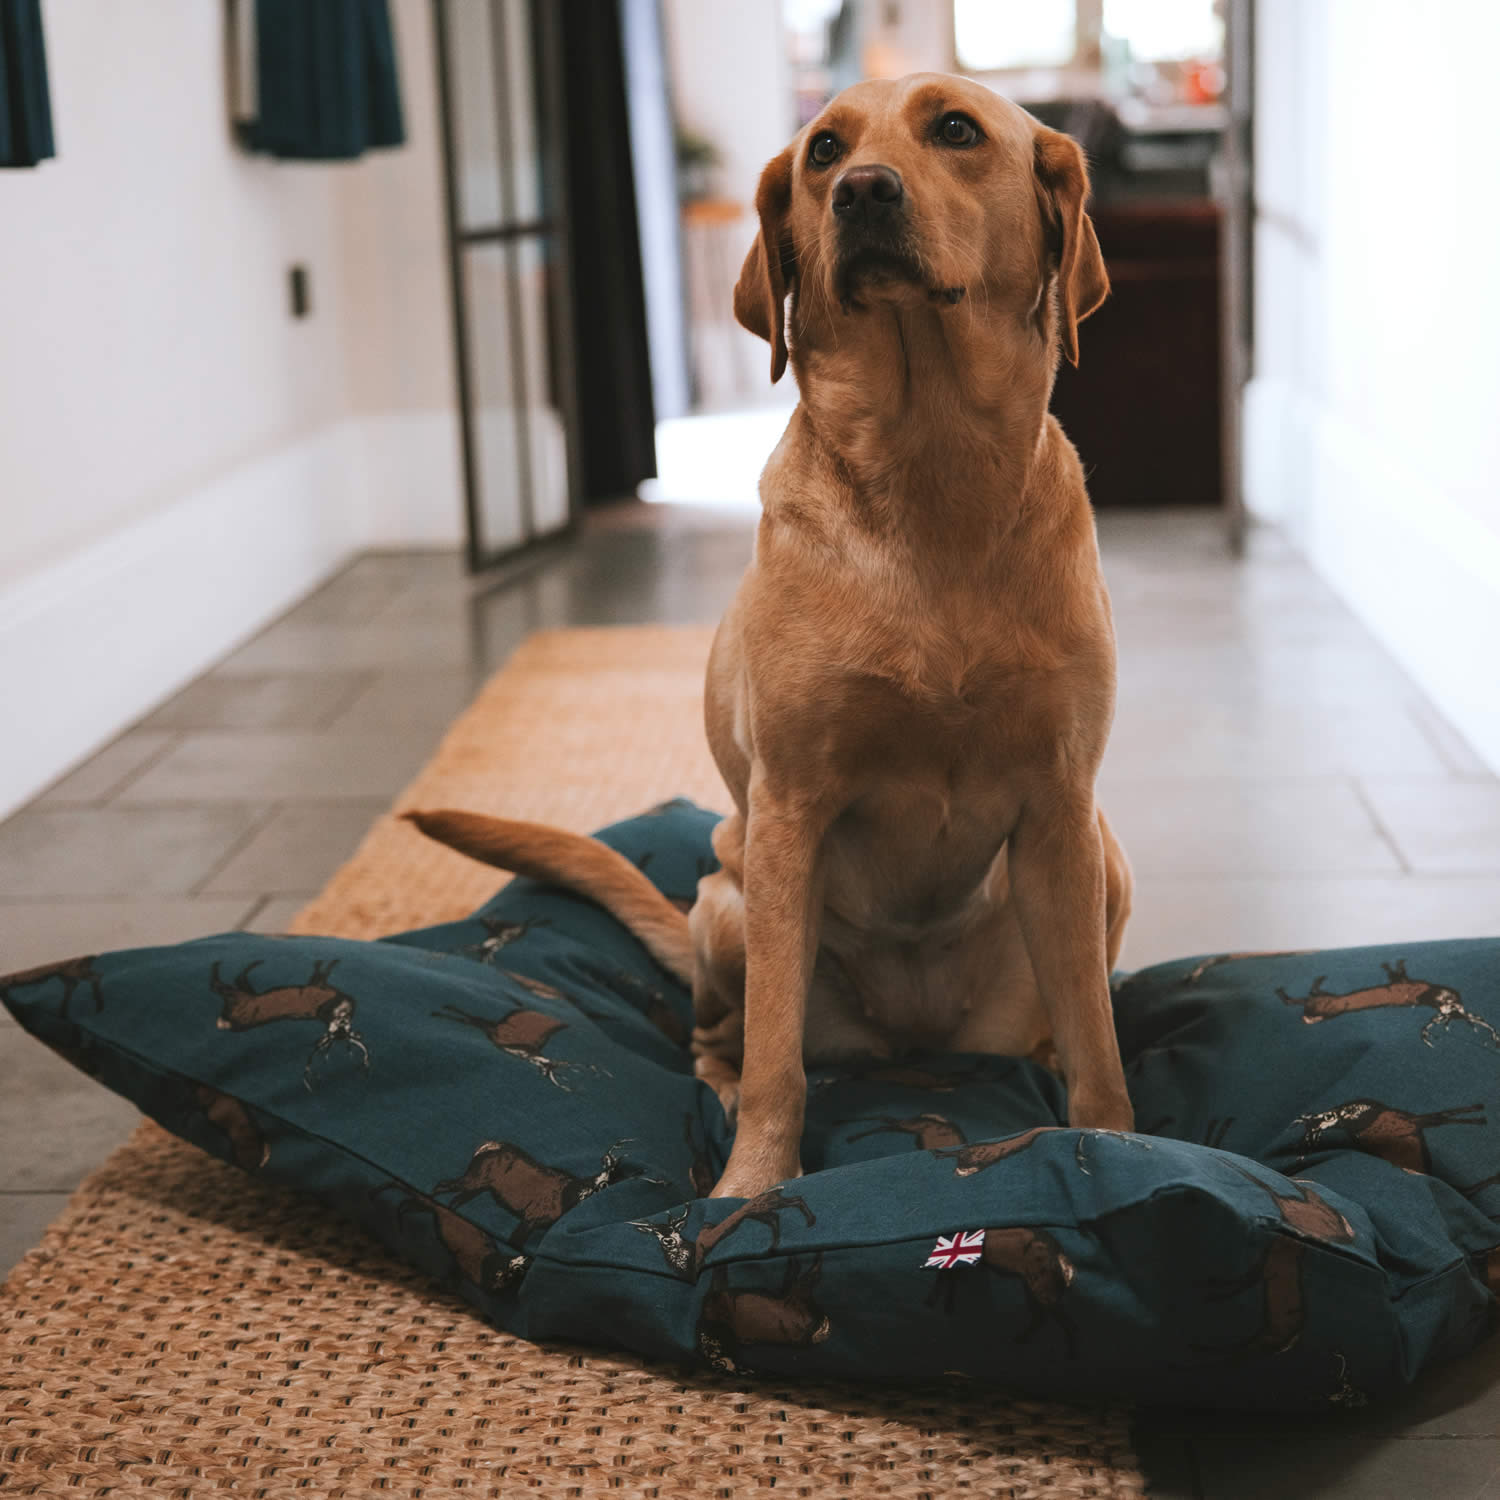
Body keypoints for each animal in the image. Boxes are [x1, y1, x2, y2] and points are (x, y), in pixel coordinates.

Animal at [209, 958, 369, 1089]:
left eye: (348, 1028)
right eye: (335, 1028)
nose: (341, 1033)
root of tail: (225, 1020)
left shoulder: (320, 985)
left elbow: (321, 971)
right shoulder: (319, 985)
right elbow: (322, 971)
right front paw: (327, 962)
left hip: (242, 997)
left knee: (234, 981)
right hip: (239, 1000)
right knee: (221, 984)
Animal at [434, 1137, 649, 1247]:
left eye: (618, 1183)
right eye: (603, 1179)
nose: (598, 1188)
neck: (567, 1200)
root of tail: (483, 1147)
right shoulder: (531, 1217)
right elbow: (515, 1242)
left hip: (478, 1187)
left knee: (453, 1201)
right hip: (474, 1179)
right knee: (441, 1186)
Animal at [629, 1187, 816, 1279]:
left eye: (676, 1229)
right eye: (656, 1234)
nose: (668, 1241)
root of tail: (776, 1189)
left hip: (768, 1206)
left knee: (796, 1200)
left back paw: (810, 1221)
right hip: (762, 1213)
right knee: (776, 1217)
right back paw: (774, 1245)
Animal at [1278, 961, 1499, 1048]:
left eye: (1458, 1007)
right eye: (1452, 1005)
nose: (1456, 1013)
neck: (1423, 991)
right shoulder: (1404, 982)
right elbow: (1396, 972)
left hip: (1322, 1004)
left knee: (1307, 999)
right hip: (1322, 1004)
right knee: (1305, 999)